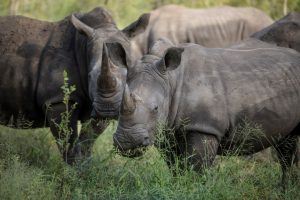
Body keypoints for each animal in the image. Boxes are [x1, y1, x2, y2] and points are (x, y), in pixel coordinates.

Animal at [0, 7, 150, 163]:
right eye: (89, 76)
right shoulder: (58, 100)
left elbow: (88, 139)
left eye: (130, 75)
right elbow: (67, 140)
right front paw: (73, 167)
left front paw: (86, 165)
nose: (108, 110)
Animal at [113, 38, 300, 185]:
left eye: (156, 108)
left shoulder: (204, 127)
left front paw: (193, 190)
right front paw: (178, 187)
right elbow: (175, 167)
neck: (171, 80)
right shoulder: (165, 130)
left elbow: (196, 170)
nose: (127, 142)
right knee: (287, 144)